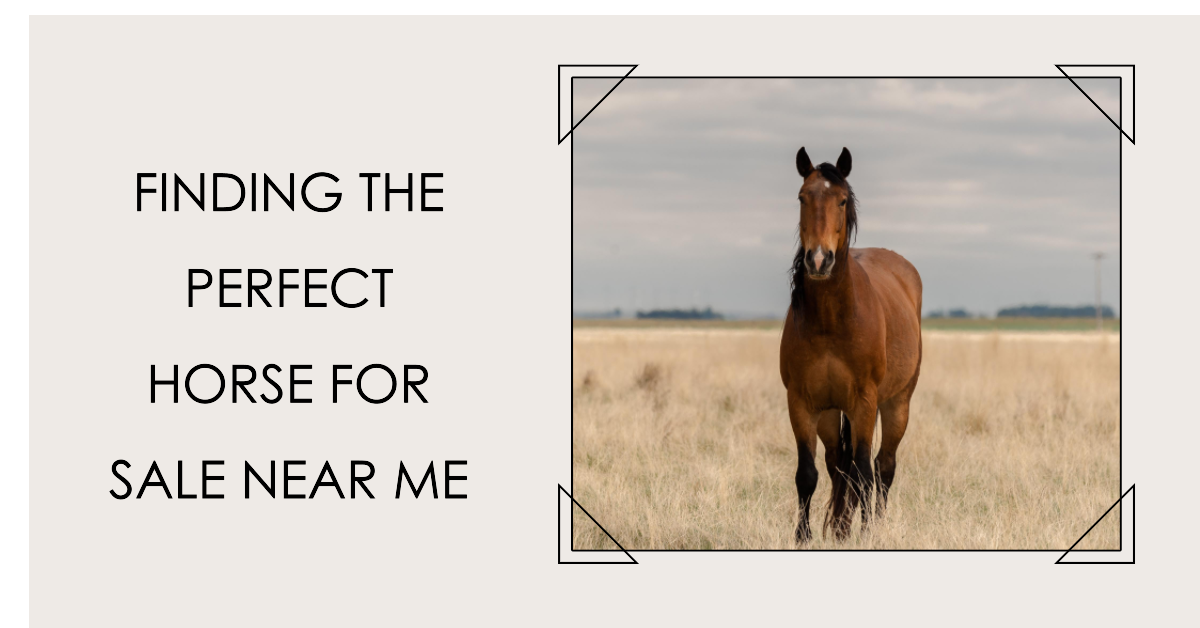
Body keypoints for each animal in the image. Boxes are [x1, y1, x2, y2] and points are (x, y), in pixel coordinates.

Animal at [779, 147, 923, 543]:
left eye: (842, 200)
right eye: (802, 198)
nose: (818, 259)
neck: (832, 321)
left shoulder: (864, 401)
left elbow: (863, 471)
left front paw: (866, 532)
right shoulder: (802, 403)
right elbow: (808, 473)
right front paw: (804, 537)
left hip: (895, 403)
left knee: (882, 466)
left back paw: (875, 525)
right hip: (831, 413)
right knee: (836, 466)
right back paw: (843, 526)